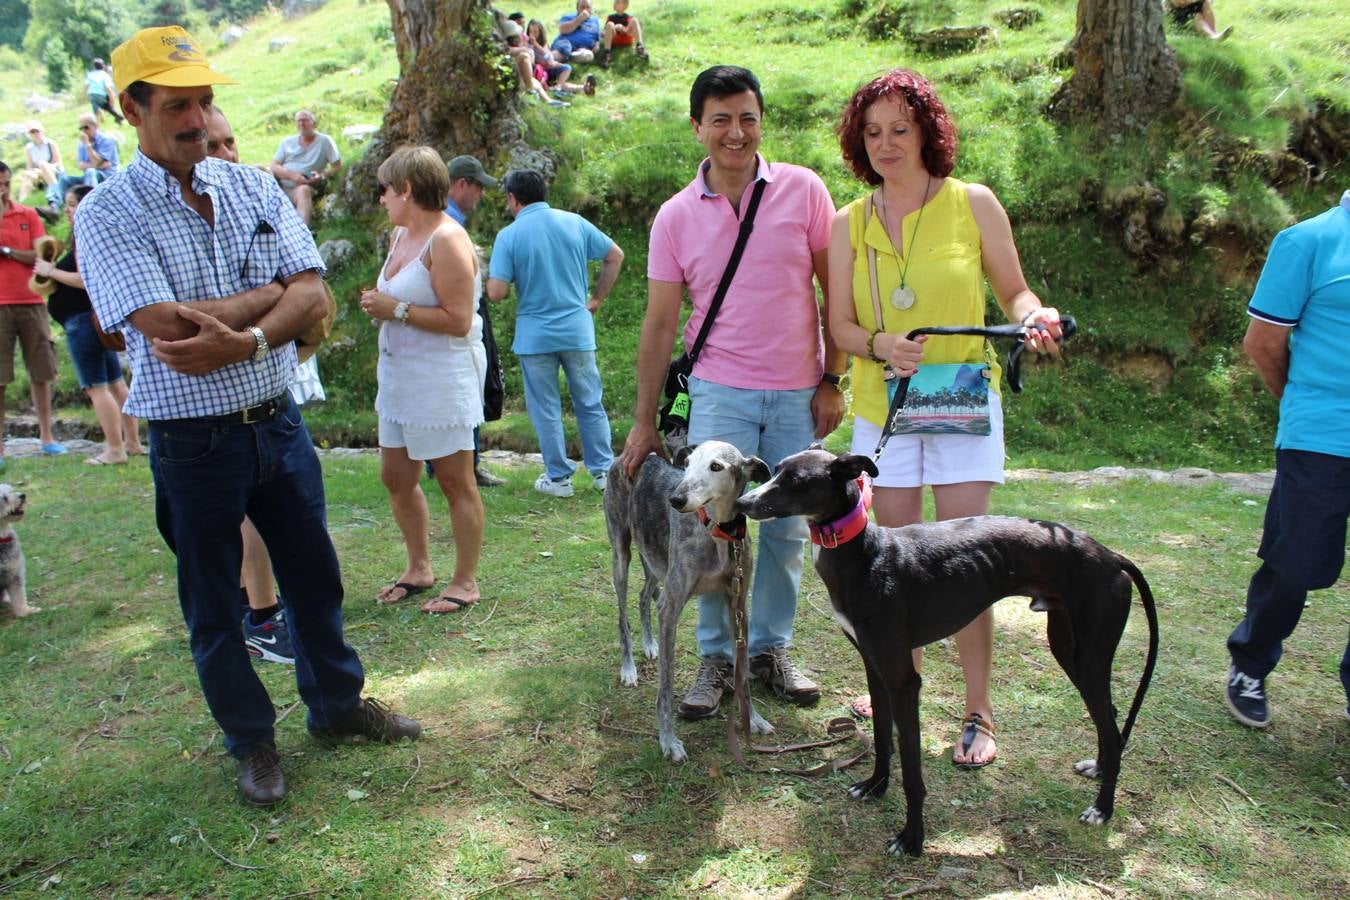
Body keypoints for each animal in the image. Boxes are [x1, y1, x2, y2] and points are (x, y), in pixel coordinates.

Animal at [0, 485, 36, 620]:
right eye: (3, 497)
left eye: (10, 490)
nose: (22, 495)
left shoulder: (15, 574)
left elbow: (19, 597)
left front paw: (26, 611)